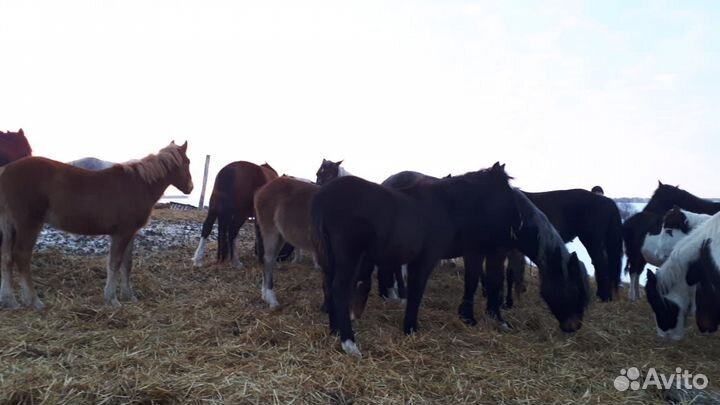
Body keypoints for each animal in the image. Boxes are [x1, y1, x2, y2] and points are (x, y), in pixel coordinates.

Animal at [0, 141, 193, 310]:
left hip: (10, 225)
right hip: (28, 225)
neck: (139, 185)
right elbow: (114, 263)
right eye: (188, 162)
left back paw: (10, 301)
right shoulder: (121, 234)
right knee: (22, 256)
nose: (190, 187)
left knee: (7, 257)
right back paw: (34, 301)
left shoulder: (131, 233)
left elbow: (127, 264)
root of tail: (6, 171)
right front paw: (112, 299)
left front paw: (129, 295)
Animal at [254, 176, 320, 307]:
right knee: (268, 260)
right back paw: (272, 300)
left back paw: (264, 295)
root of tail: (262, 190)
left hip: (280, 237)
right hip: (271, 231)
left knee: (268, 259)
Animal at [312, 163, 589, 355]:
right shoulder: (433, 258)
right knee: (339, 289)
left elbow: (486, 281)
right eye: (575, 290)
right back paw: (349, 343)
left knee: (330, 287)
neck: (445, 208)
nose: (574, 327)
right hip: (348, 257)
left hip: (331, 257)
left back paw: (335, 331)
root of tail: (323, 197)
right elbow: (422, 291)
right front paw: (412, 328)